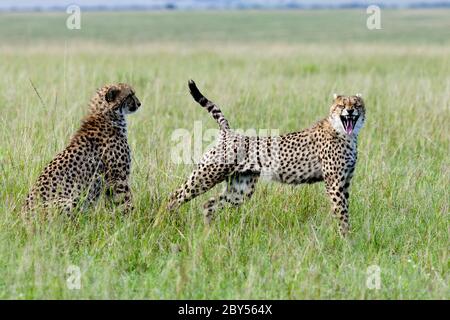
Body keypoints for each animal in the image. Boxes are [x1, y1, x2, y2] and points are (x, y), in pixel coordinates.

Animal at [22, 82, 142, 215]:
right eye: (130, 95)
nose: (139, 103)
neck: (107, 115)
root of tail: (22, 213)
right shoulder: (118, 179)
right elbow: (126, 203)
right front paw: (133, 217)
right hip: (73, 200)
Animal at [169, 80, 366, 235]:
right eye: (342, 106)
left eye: (357, 105)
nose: (350, 111)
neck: (345, 133)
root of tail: (228, 132)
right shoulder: (335, 184)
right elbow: (341, 213)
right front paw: (346, 241)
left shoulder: (345, 182)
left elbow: (345, 211)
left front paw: (348, 240)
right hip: (208, 174)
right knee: (175, 196)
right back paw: (168, 222)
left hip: (241, 190)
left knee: (208, 205)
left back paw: (208, 233)